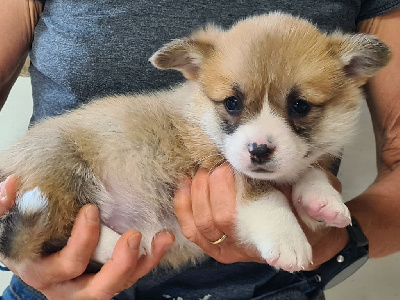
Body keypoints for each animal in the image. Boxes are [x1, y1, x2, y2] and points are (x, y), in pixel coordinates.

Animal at [0, 13, 390, 272]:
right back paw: (121, 247)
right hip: (61, 168)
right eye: (232, 102)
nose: (259, 151)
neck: (201, 117)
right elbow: (264, 194)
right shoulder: (217, 166)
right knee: (54, 233)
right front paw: (288, 240)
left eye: (300, 106)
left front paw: (325, 203)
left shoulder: (297, 161)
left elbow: (312, 173)